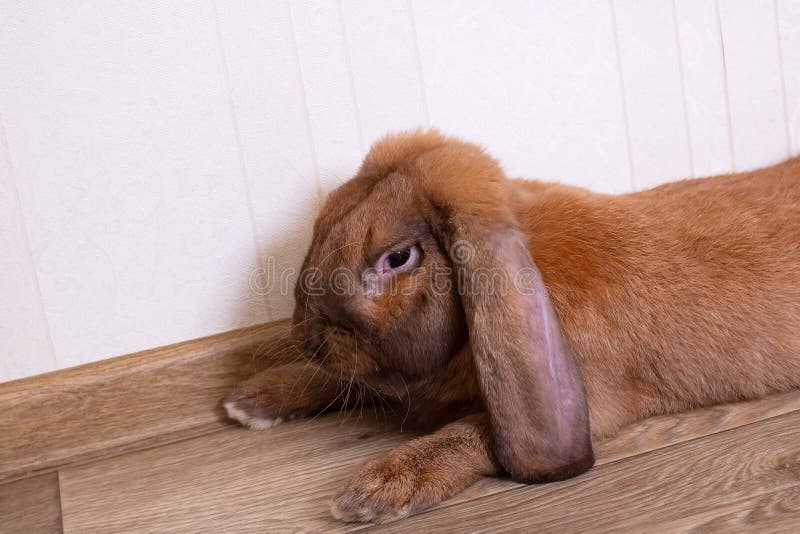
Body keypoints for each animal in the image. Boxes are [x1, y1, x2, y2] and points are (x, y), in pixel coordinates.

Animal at [225, 129, 800, 523]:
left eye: (398, 258)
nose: (304, 335)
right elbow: (356, 384)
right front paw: (250, 400)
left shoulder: (589, 402)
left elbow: (466, 435)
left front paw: (374, 491)